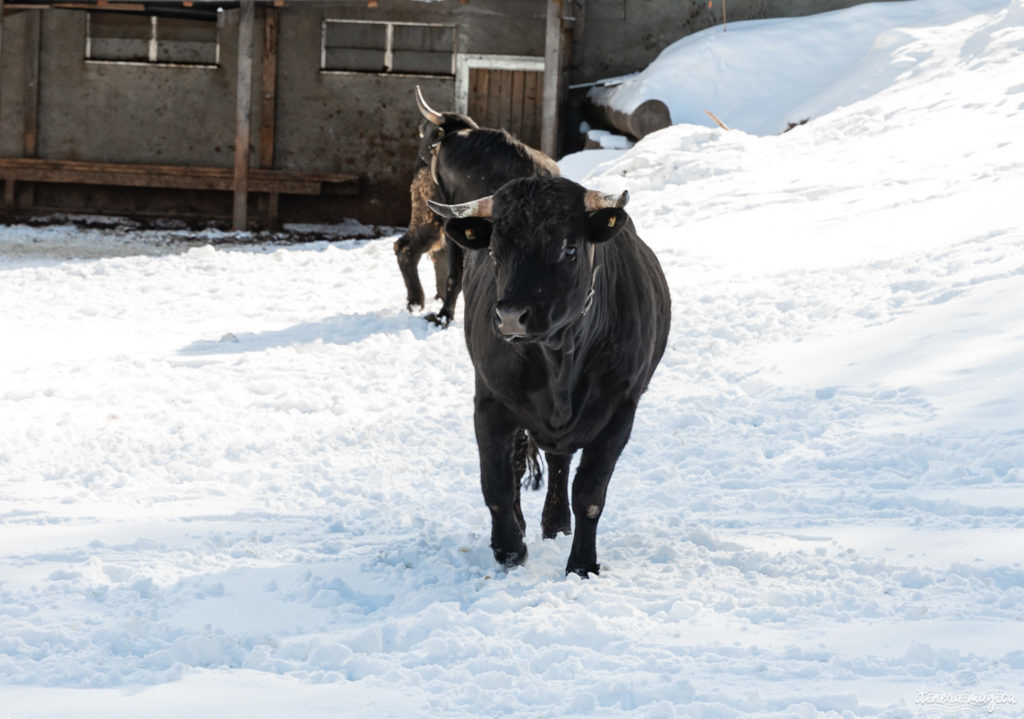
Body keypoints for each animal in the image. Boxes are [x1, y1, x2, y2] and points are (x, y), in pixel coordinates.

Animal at [430, 177, 671, 577]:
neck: (559, 358)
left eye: (568, 248)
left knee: (560, 463)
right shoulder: (490, 400)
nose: (512, 316)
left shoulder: (621, 410)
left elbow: (589, 494)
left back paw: (556, 524)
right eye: (494, 251)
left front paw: (582, 565)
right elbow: (496, 483)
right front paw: (510, 550)